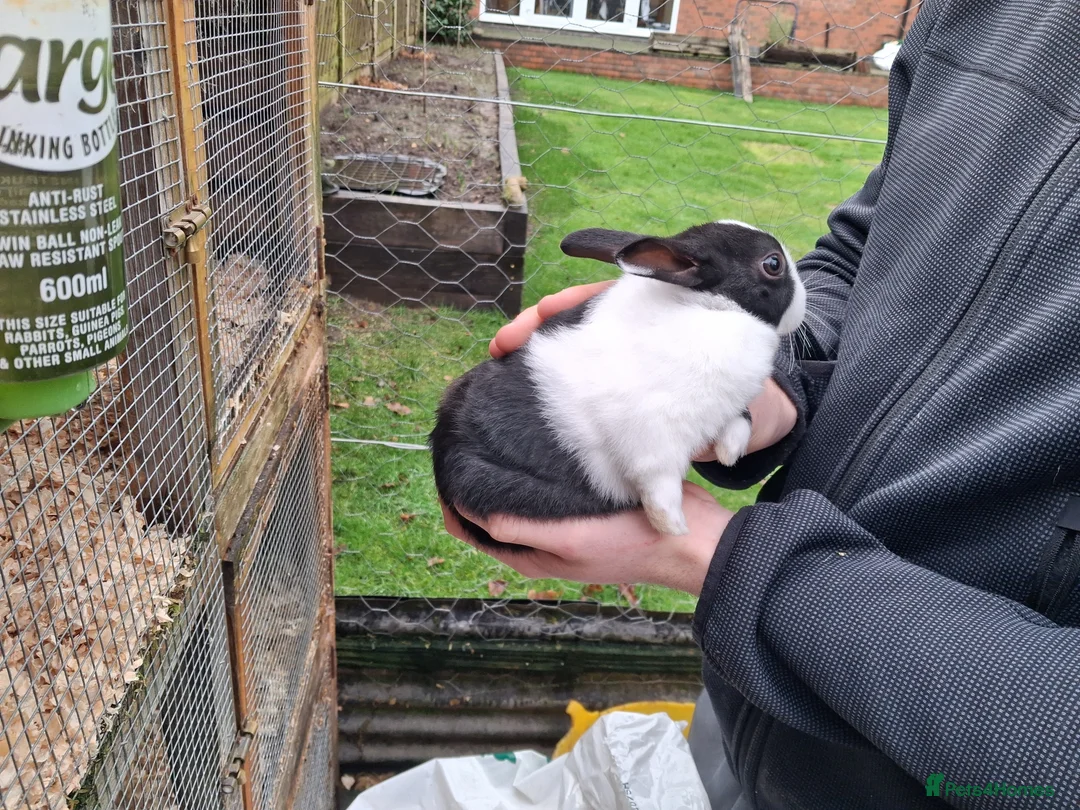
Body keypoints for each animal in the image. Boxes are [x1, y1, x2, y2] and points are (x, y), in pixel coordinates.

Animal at [430, 220, 806, 552]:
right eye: (773, 263)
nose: (802, 307)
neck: (708, 304)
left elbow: (740, 419)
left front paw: (730, 452)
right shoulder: (653, 435)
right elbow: (658, 482)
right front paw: (674, 527)